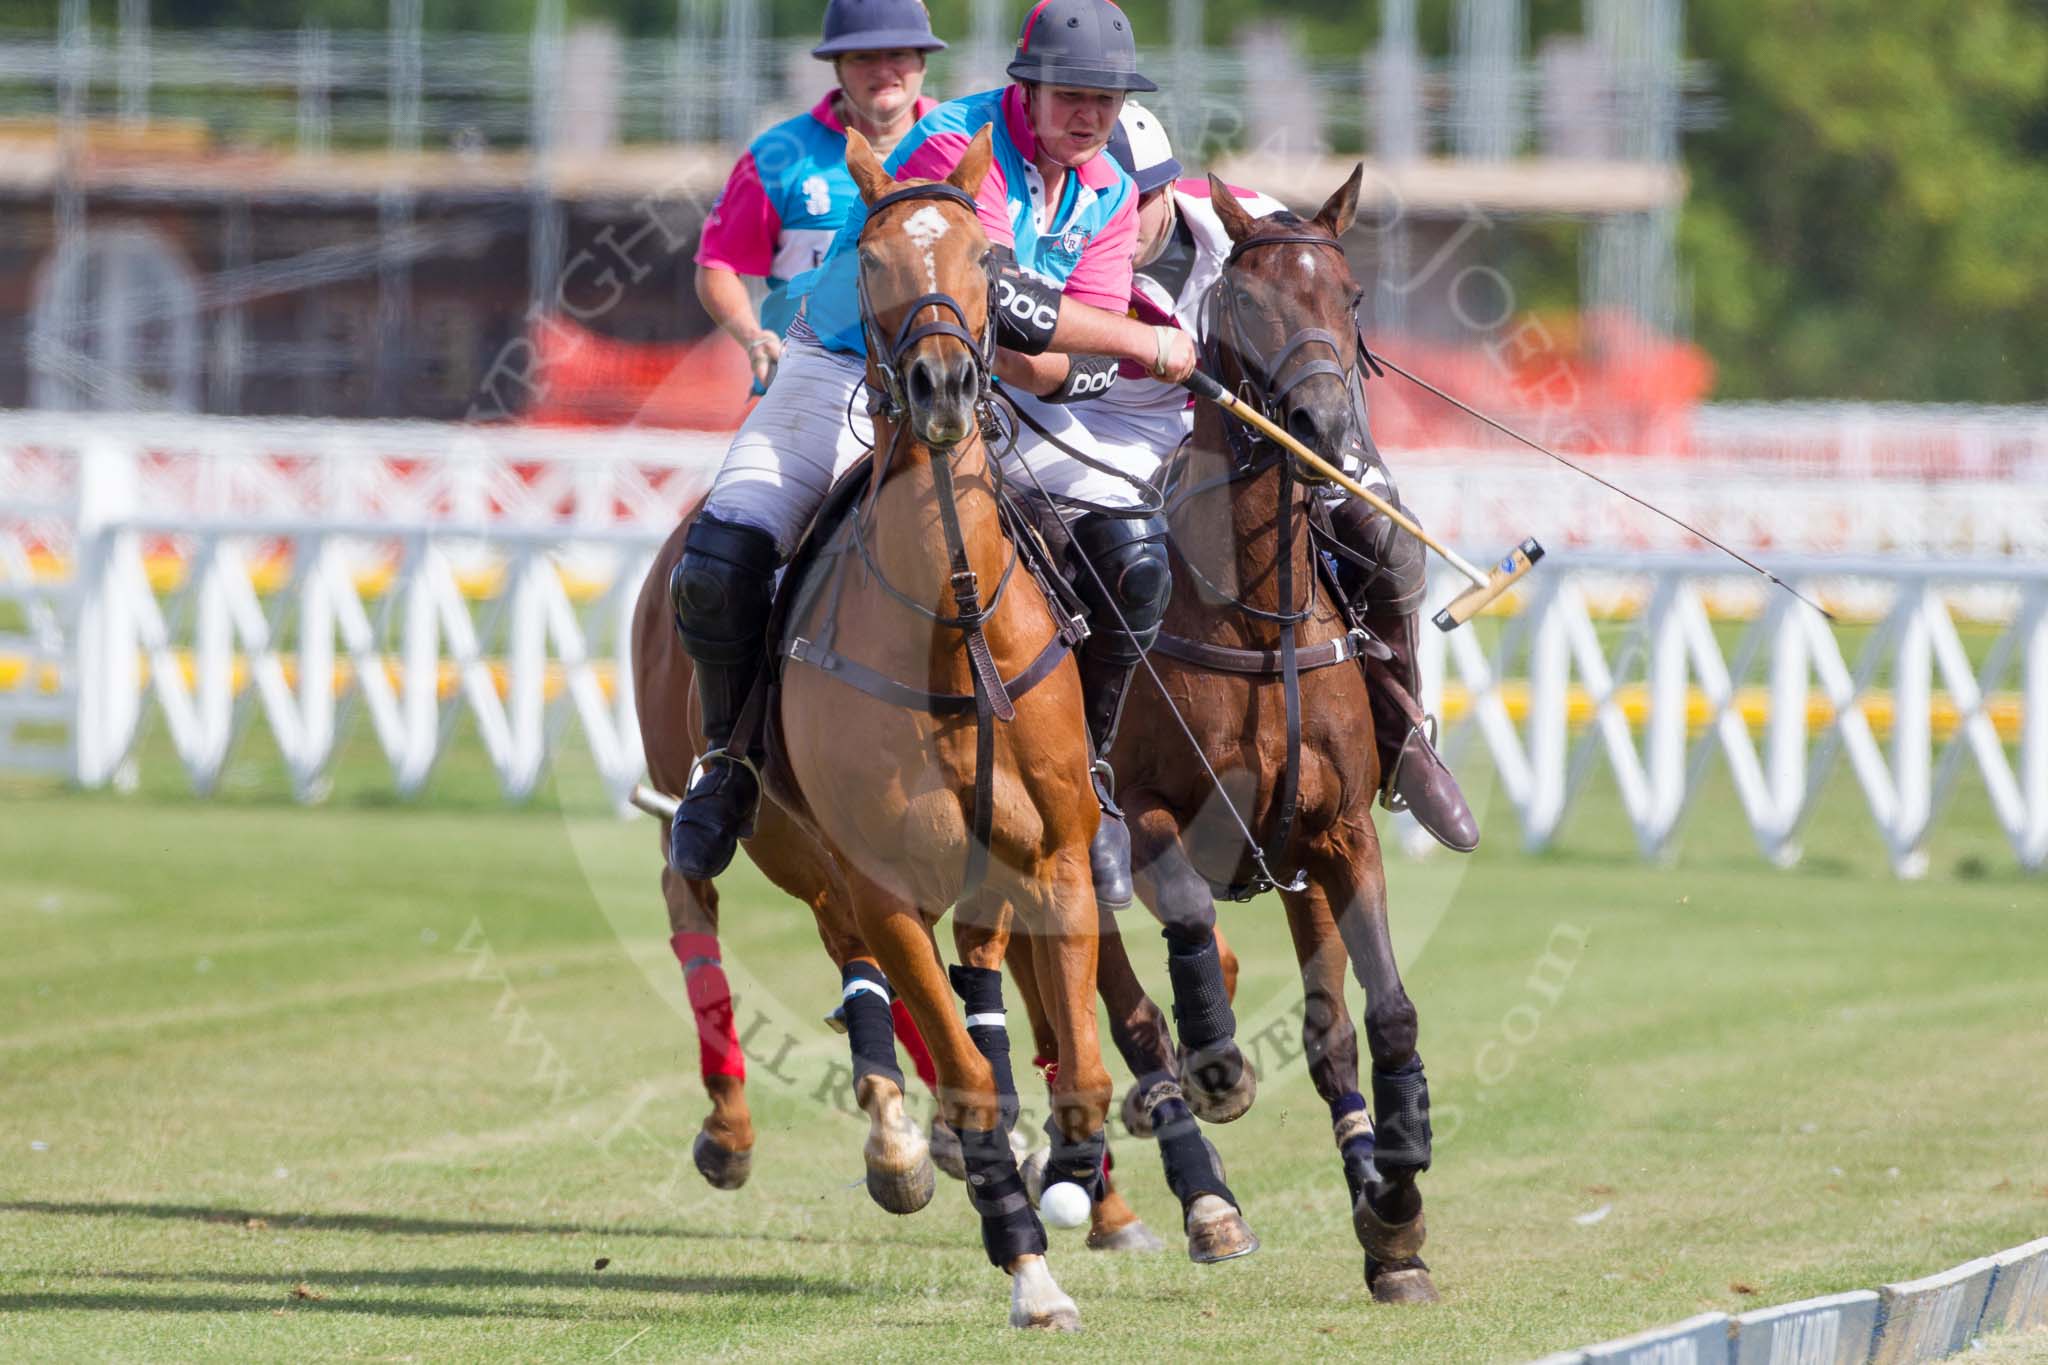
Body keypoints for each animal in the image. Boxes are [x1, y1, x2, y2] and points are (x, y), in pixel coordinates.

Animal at [1105, 165, 1441, 1309]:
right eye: (1244, 304)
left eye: (1347, 294)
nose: (1321, 422)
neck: (1252, 616)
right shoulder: (1147, 811)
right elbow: (1185, 926)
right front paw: (1216, 1067)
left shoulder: (1338, 834)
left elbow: (1378, 1017)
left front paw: (1396, 1212)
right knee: (1115, 1007)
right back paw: (1200, 1188)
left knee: (1322, 1030)